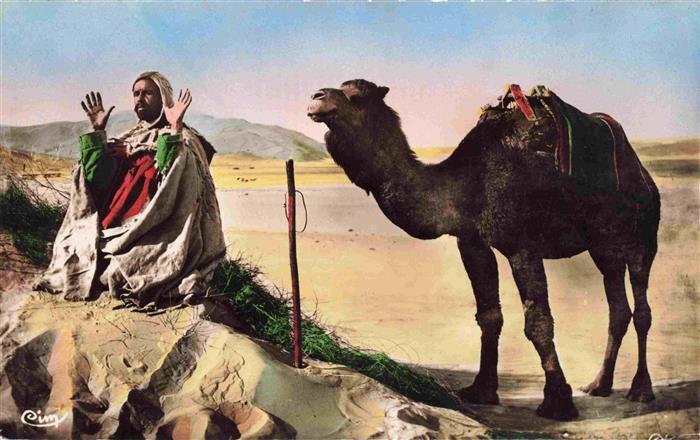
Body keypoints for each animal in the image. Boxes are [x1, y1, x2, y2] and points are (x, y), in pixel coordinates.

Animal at [307, 79, 660, 420]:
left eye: (356, 96)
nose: (316, 97)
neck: (464, 184)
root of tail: (642, 172)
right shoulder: (472, 241)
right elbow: (489, 315)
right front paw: (482, 390)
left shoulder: (522, 244)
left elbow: (538, 322)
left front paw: (558, 402)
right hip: (603, 248)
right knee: (618, 309)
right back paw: (599, 384)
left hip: (642, 236)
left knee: (642, 309)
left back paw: (641, 390)